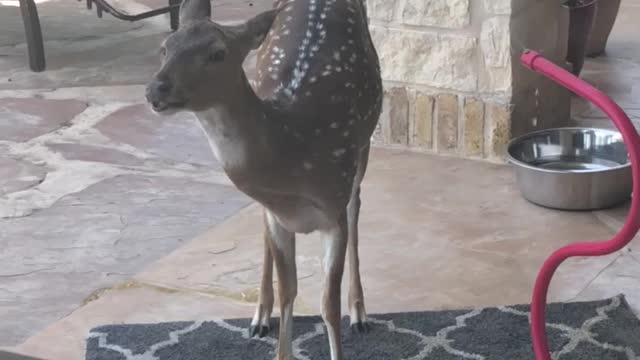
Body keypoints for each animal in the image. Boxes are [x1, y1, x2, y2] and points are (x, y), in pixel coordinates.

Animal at [146, 0, 382, 358]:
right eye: (165, 47)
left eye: (218, 53)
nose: (155, 88)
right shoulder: (277, 217)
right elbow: (289, 292)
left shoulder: (333, 207)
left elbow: (328, 305)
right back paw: (259, 315)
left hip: (363, 147)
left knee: (357, 206)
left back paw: (360, 313)